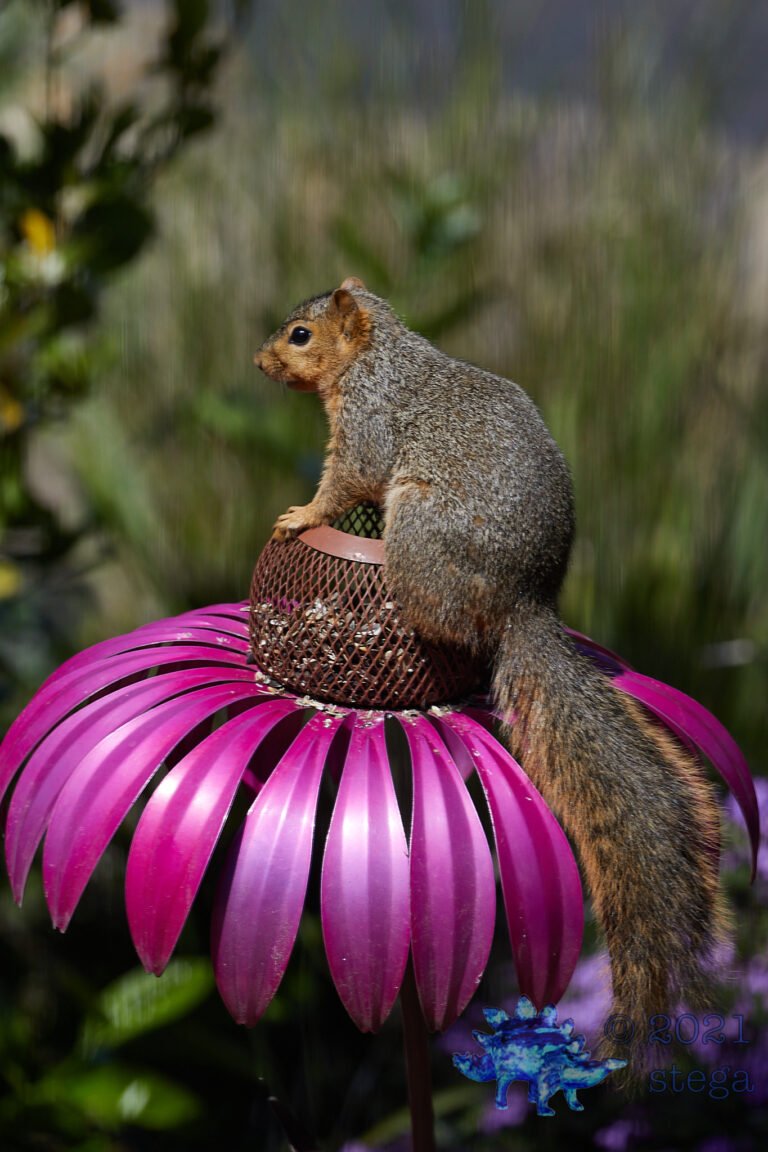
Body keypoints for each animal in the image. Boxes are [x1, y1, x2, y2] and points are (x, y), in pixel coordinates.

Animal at [255, 277, 727, 1063]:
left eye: (299, 334)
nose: (260, 361)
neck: (377, 355)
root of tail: (521, 602)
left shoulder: (368, 426)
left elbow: (343, 482)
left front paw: (299, 516)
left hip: (419, 528)